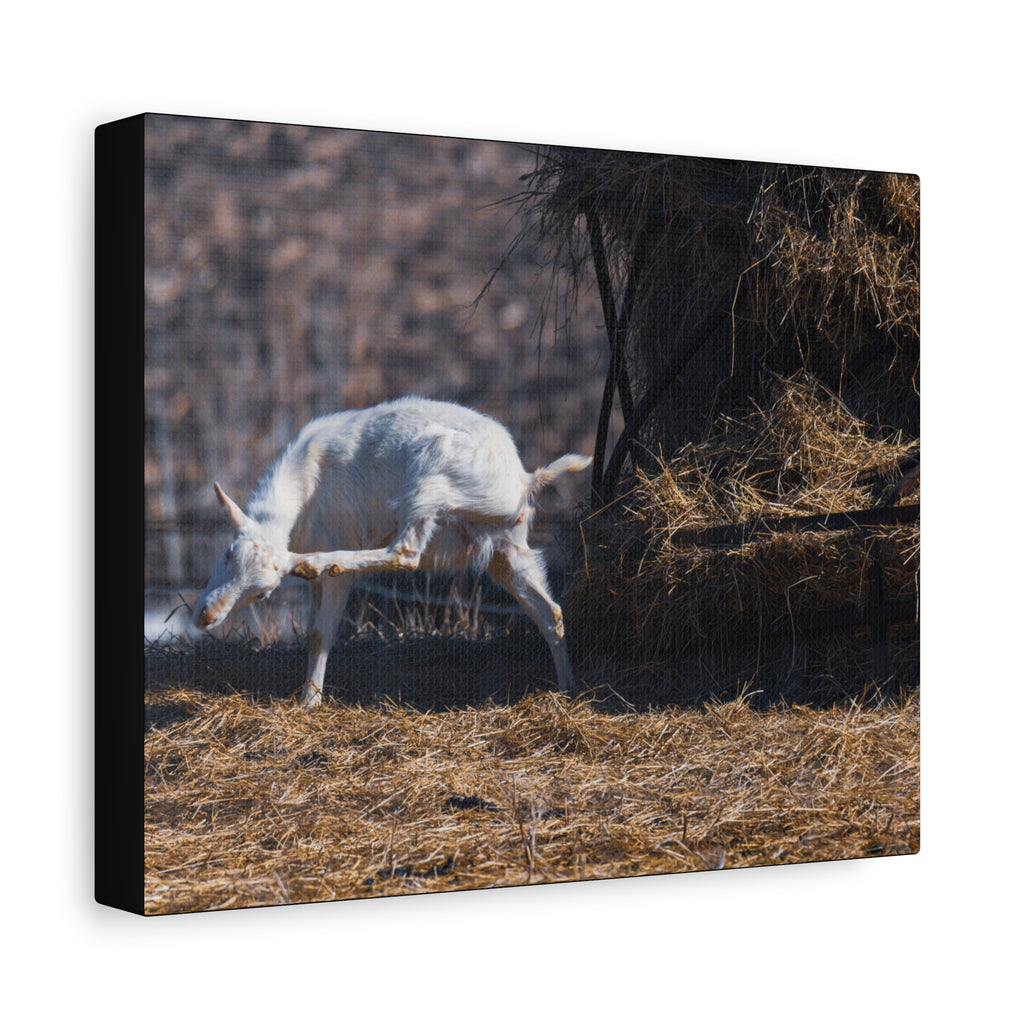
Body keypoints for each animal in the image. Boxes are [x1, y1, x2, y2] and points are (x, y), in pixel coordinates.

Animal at [192, 396, 592, 706]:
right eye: (228, 554)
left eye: (262, 593)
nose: (205, 617)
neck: (305, 482)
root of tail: (524, 479)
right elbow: (310, 631)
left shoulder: (338, 539)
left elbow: (321, 633)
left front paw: (309, 702)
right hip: (506, 547)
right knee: (549, 610)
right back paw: (568, 688)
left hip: (430, 481)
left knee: (406, 552)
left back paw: (317, 563)